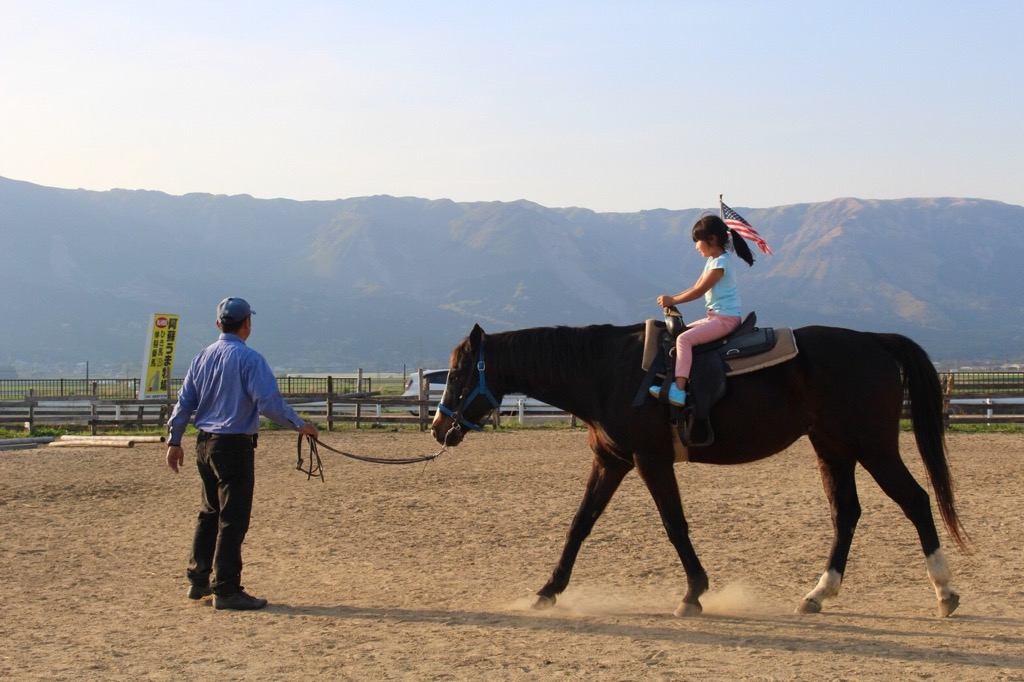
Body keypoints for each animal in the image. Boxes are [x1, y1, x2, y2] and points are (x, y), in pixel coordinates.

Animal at [430, 321, 966, 614]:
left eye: (456, 373)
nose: (438, 426)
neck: (607, 372)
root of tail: (874, 341)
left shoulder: (650, 459)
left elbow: (674, 524)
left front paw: (694, 593)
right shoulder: (611, 461)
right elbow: (579, 525)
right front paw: (547, 592)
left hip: (873, 448)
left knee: (916, 500)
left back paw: (944, 591)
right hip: (833, 448)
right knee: (847, 514)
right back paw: (818, 593)